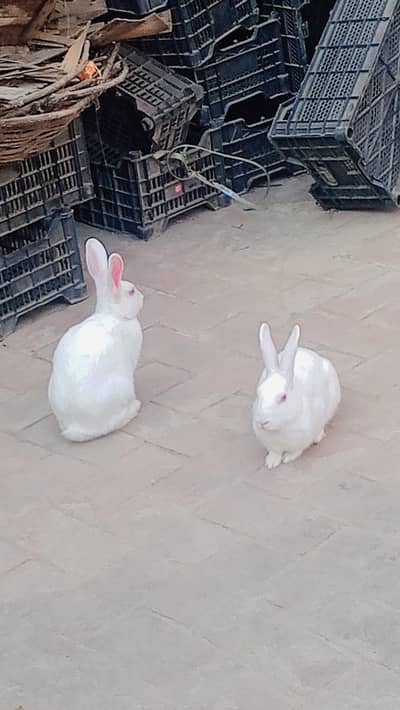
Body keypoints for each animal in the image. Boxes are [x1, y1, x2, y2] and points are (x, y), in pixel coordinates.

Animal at [48, 238, 144, 442]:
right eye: (132, 292)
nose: (142, 297)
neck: (113, 314)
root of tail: (78, 427)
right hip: (122, 387)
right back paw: (134, 408)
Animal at [253, 322, 341, 469]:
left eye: (283, 397)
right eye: (258, 393)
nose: (262, 422)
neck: (281, 427)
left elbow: (296, 451)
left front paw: (288, 458)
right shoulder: (273, 446)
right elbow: (275, 453)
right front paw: (271, 462)